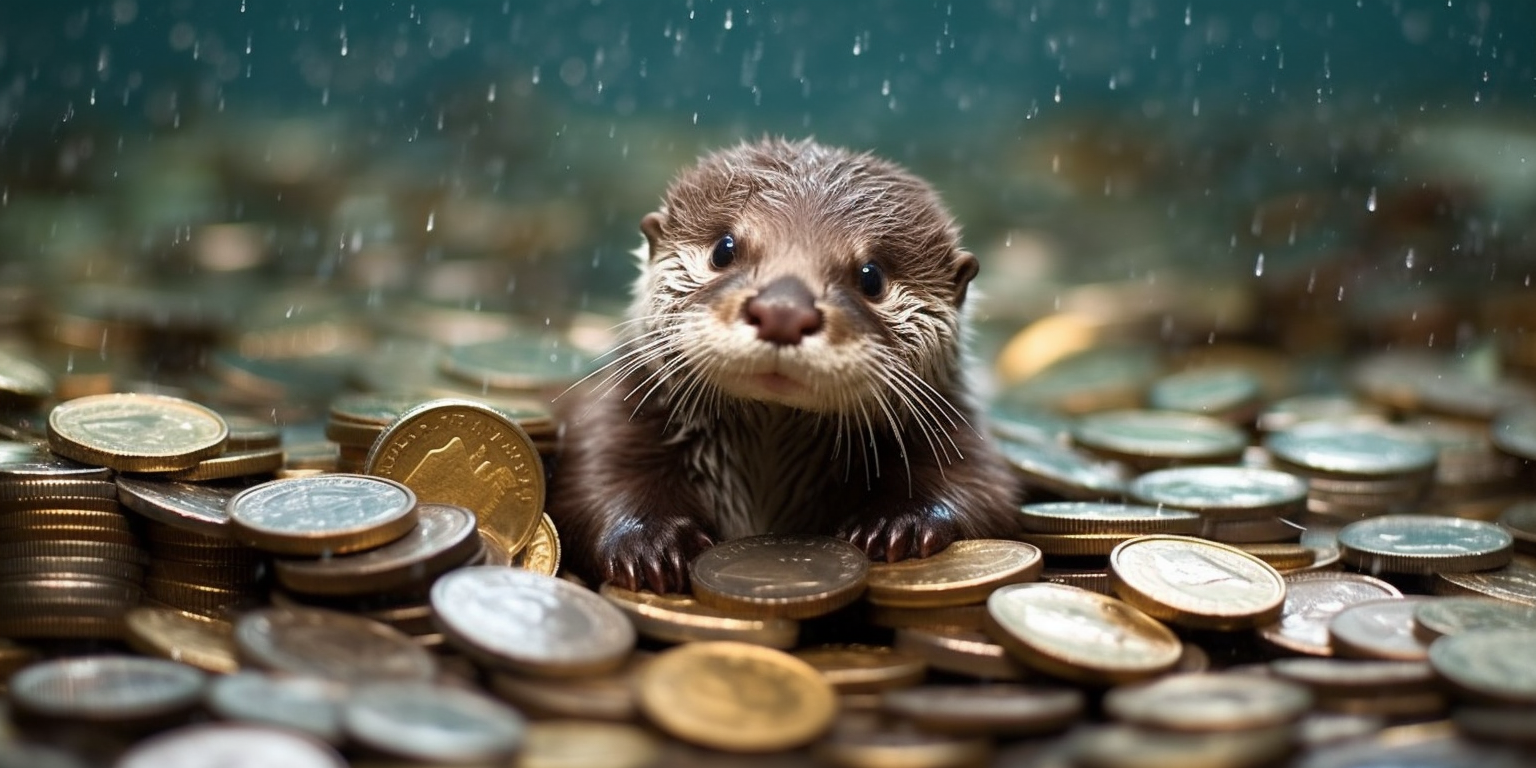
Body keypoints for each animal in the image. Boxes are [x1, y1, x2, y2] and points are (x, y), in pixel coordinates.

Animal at [551, 138, 1022, 593]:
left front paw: (901, 524)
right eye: (724, 249)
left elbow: (981, 488)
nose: (783, 311)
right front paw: (651, 542)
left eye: (871, 277)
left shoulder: (956, 428)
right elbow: (594, 481)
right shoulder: (616, 415)